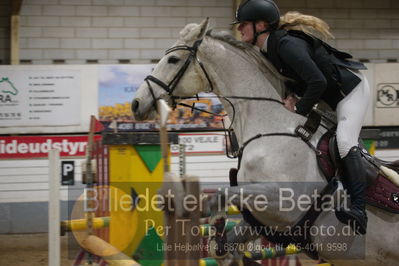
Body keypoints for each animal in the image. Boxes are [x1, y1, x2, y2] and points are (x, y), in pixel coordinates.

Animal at [133, 18, 399, 264]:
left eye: (173, 60)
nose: (136, 103)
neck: (268, 125)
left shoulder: (283, 201)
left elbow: (220, 195)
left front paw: (212, 217)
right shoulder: (262, 219)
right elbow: (223, 244)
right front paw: (219, 238)